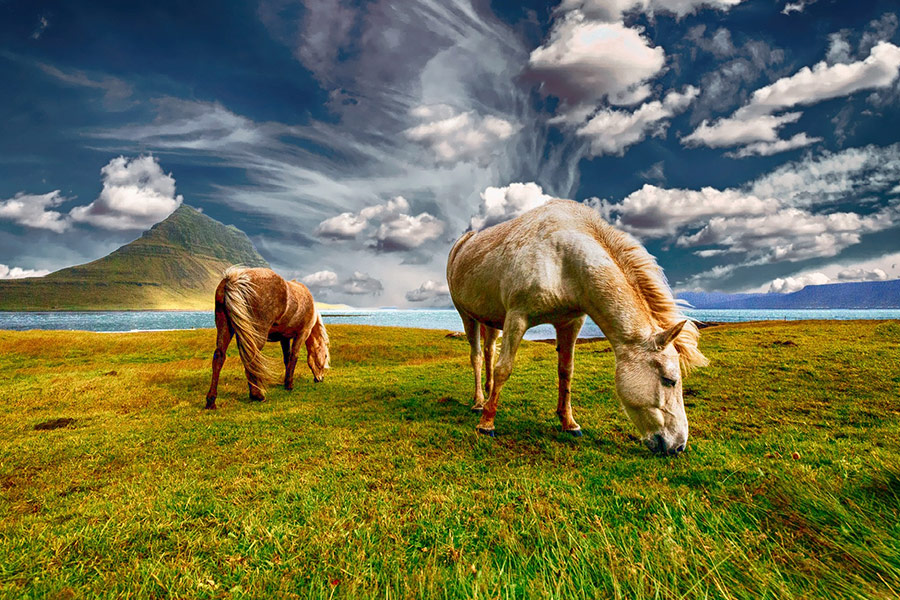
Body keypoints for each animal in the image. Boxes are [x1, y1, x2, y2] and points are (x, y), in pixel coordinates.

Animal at [205, 267, 330, 409]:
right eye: (325, 356)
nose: (320, 378)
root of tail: (235, 279)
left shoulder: (284, 338)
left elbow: (287, 359)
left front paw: (285, 382)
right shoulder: (302, 333)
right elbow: (294, 357)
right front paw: (289, 385)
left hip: (226, 328)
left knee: (219, 357)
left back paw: (211, 401)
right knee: (251, 358)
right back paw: (257, 395)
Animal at [446, 199, 707, 455]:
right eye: (669, 380)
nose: (678, 446)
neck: (564, 259)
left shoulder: (570, 323)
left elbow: (566, 372)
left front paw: (569, 423)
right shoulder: (517, 318)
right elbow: (504, 369)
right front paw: (487, 424)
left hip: (491, 320)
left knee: (489, 351)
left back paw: (488, 395)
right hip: (467, 316)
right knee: (478, 357)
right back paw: (479, 403)